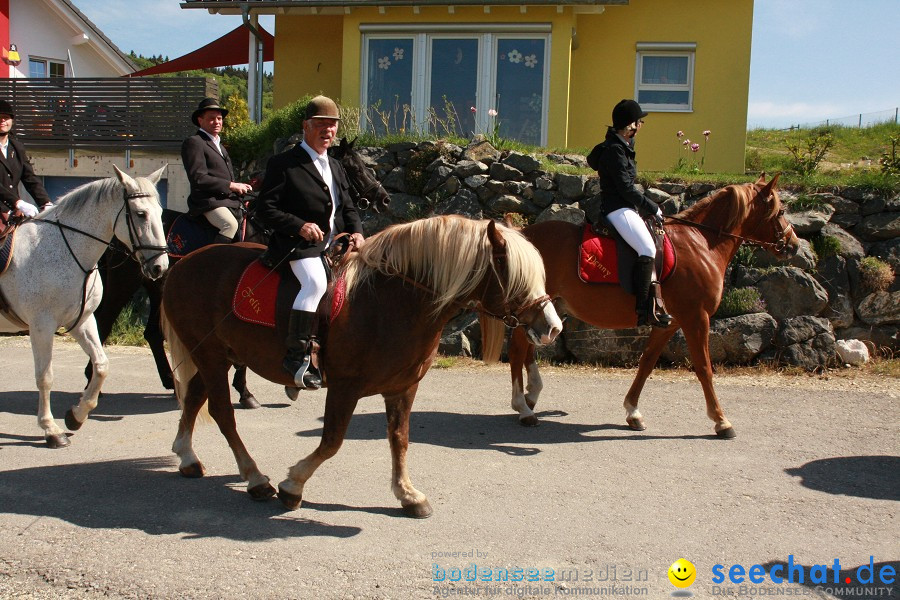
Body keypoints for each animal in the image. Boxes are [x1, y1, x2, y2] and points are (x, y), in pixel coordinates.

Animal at [0, 166, 170, 448]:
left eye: (160, 212)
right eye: (140, 214)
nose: (160, 267)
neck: (63, 249)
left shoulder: (82, 320)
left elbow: (102, 365)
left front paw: (76, 415)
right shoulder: (41, 326)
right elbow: (45, 376)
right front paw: (51, 430)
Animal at [85, 137, 390, 408]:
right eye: (356, 168)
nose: (385, 199)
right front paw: (246, 392)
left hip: (156, 288)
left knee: (151, 333)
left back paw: (170, 383)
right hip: (124, 285)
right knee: (103, 322)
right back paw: (93, 381)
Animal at [158, 214, 560, 516]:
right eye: (512, 273)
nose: (552, 327)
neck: (391, 301)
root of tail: (184, 263)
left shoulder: (403, 388)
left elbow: (400, 439)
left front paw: (408, 494)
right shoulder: (344, 387)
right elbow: (332, 441)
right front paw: (293, 485)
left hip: (217, 355)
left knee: (193, 399)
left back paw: (187, 457)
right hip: (211, 356)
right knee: (222, 413)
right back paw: (255, 478)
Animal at [482, 173, 800, 436]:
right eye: (781, 211)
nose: (794, 245)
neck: (701, 243)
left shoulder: (668, 322)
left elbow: (646, 363)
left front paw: (633, 412)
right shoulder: (696, 318)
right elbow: (704, 367)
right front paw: (721, 421)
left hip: (545, 310)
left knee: (528, 349)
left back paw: (531, 397)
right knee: (518, 351)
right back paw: (523, 407)